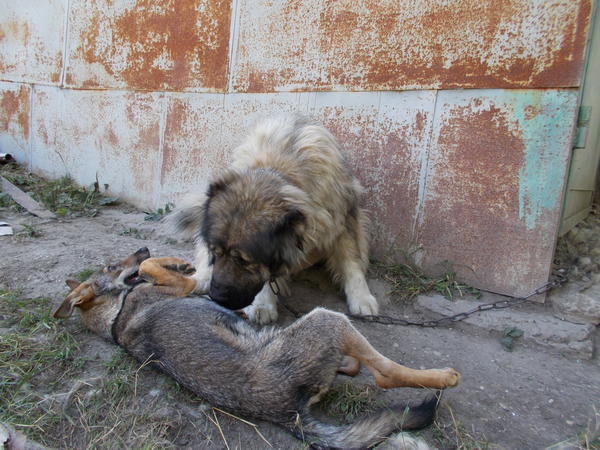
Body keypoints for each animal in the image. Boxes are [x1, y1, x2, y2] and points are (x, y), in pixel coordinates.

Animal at [54, 248, 462, 448]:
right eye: (111, 265)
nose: (140, 246)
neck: (115, 318)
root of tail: (287, 414)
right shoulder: (182, 289)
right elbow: (155, 267)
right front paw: (171, 262)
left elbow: (160, 266)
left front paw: (176, 261)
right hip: (327, 319)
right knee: (385, 373)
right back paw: (442, 376)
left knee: (354, 367)